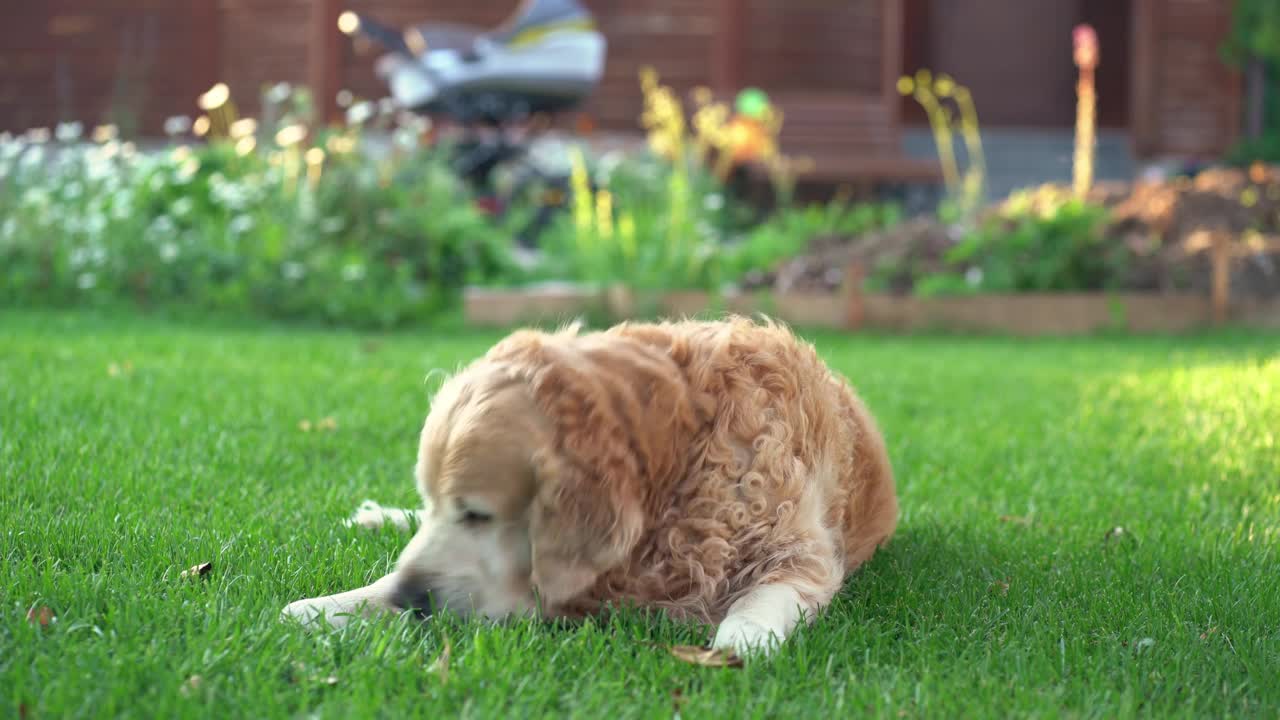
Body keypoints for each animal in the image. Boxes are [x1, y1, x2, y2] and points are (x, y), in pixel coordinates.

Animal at [282, 316, 901, 653]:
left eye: (477, 514)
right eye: (434, 503)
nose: (408, 597)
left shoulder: (800, 552)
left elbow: (765, 598)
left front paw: (738, 641)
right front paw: (327, 606)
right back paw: (375, 517)